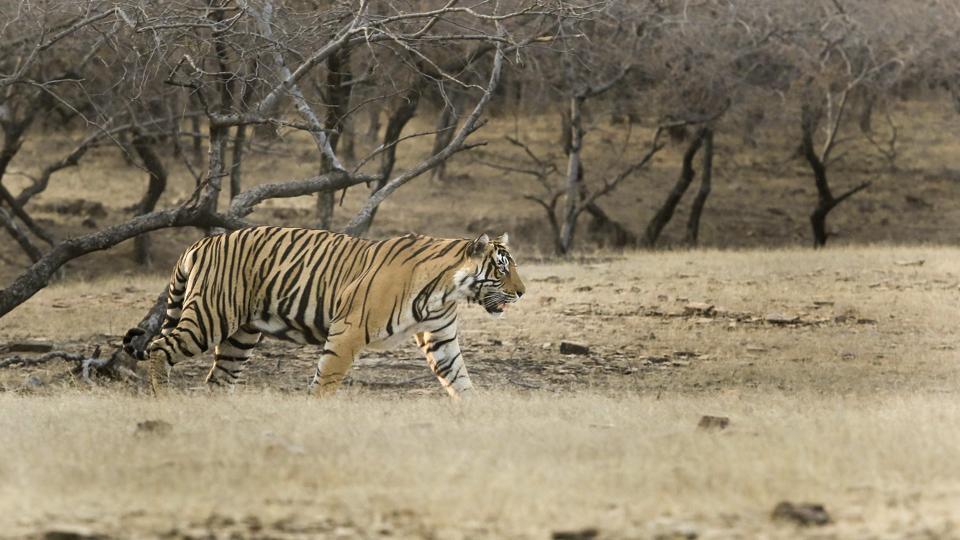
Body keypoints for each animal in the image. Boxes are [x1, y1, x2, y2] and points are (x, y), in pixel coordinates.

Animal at [122, 226, 524, 398]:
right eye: (502, 269)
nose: (521, 292)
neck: (447, 290)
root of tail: (201, 241)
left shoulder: (439, 338)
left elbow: (460, 378)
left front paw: (476, 416)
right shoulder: (348, 330)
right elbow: (327, 378)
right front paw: (316, 411)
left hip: (241, 336)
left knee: (218, 379)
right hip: (210, 316)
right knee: (159, 347)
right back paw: (163, 399)